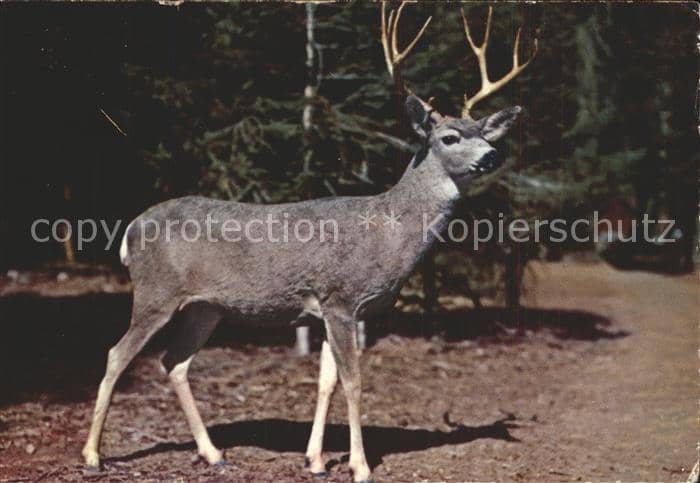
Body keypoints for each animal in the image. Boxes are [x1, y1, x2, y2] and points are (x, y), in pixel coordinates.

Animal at [82, 3, 537, 482]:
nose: (492, 155)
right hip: (156, 292)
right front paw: (359, 465)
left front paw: (315, 460)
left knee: (175, 362)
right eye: (450, 137)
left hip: (206, 307)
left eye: (484, 134)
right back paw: (93, 456)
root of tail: (130, 231)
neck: (387, 231)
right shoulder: (341, 297)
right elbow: (353, 381)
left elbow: (326, 381)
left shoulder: (331, 310)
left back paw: (213, 452)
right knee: (116, 355)